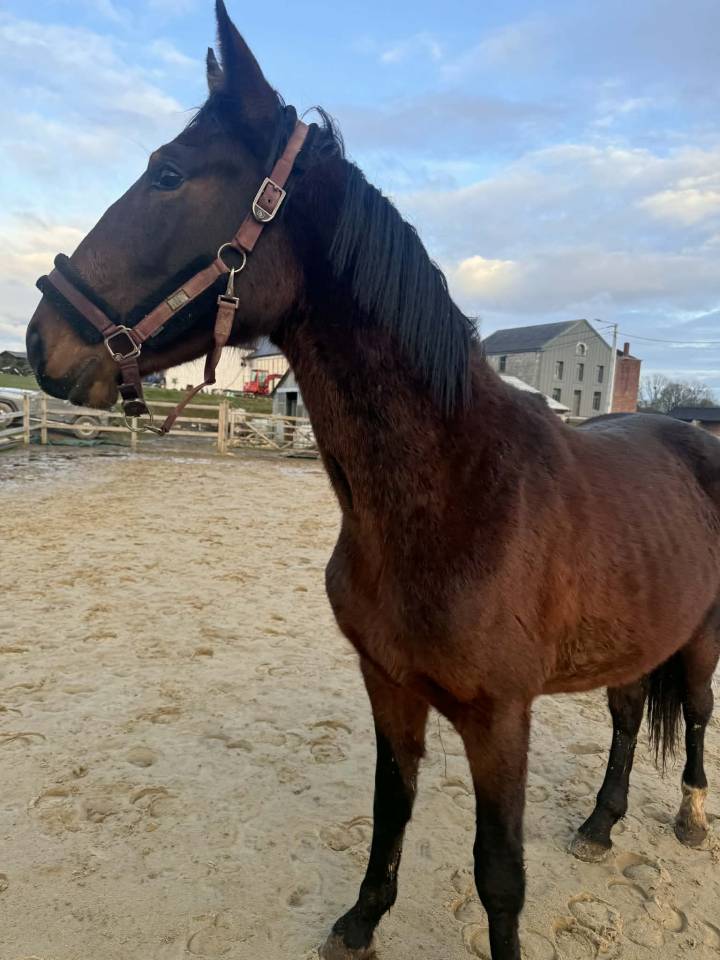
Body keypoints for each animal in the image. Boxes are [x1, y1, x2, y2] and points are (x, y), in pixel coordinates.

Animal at [25, 4, 720, 958]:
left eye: (168, 174)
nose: (39, 342)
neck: (451, 496)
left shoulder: (500, 718)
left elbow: (500, 875)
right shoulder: (387, 685)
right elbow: (391, 807)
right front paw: (360, 920)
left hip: (702, 634)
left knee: (697, 712)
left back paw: (688, 814)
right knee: (623, 719)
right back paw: (600, 824)